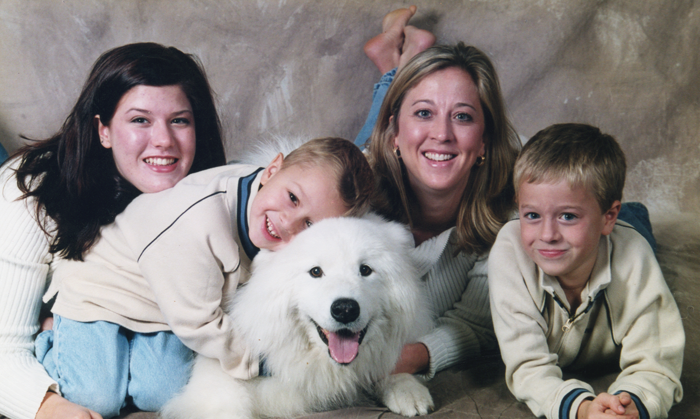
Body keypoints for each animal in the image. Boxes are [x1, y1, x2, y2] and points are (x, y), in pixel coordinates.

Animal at [162, 217, 434, 419]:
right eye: (316, 272)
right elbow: (226, 403)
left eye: (365, 270)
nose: (345, 309)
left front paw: (409, 391)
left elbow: (389, 364)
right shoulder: (219, 369)